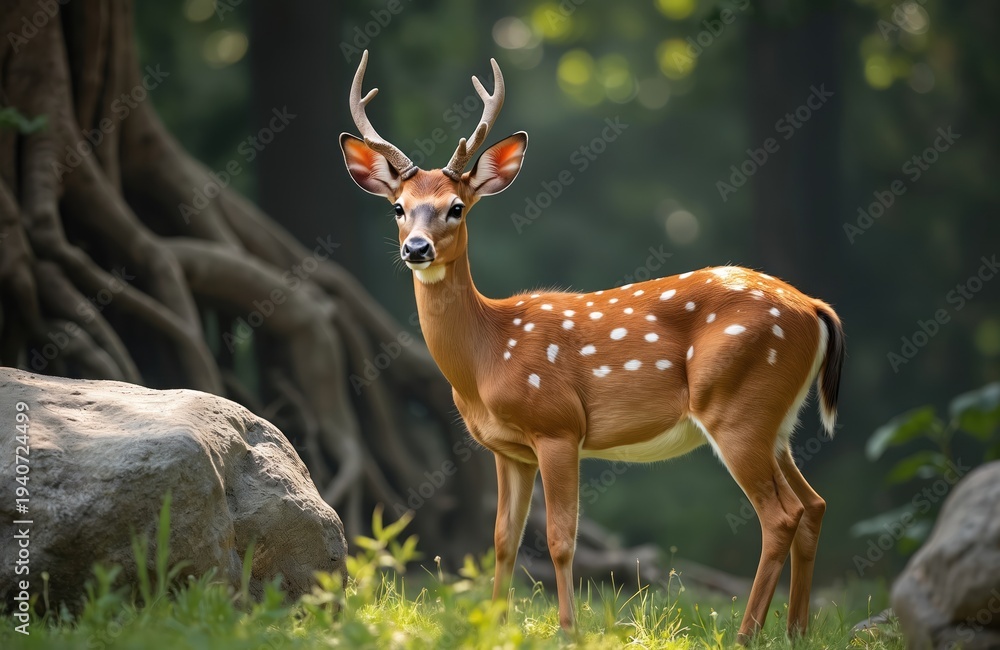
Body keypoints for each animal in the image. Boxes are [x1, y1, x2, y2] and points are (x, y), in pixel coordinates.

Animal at [339, 50, 845, 643]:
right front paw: (496, 626)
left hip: (738, 406)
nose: (416, 249)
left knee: (780, 516)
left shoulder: (558, 425)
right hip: (775, 421)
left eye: (456, 207)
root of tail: (814, 307)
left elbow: (561, 539)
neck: (489, 355)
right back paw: (796, 631)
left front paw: (567, 630)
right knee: (813, 505)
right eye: (398, 207)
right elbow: (502, 540)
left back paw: (746, 634)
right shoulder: (507, 450)